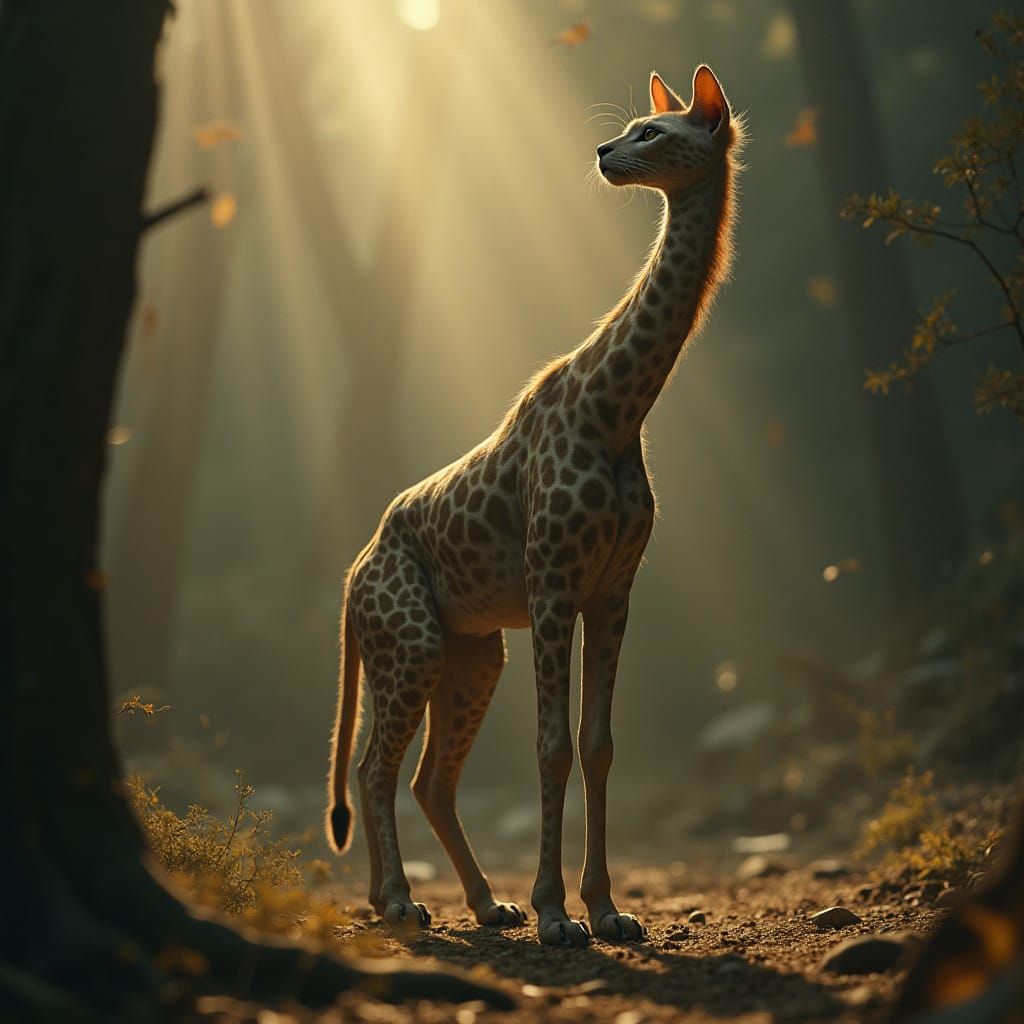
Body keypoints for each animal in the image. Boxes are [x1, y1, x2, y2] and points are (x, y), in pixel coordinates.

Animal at [326, 64, 743, 947]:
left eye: (654, 131)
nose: (604, 153)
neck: (618, 410)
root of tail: (352, 576)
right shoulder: (552, 577)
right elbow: (551, 746)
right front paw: (558, 914)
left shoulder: (614, 587)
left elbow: (598, 743)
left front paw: (607, 910)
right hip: (409, 637)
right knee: (376, 764)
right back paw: (402, 902)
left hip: (470, 651)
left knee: (421, 775)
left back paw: (482, 904)